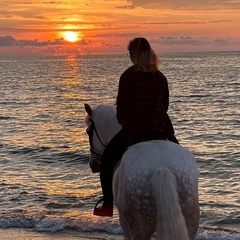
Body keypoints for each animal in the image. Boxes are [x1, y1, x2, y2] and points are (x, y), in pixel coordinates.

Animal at [83, 103, 200, 240]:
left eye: (88, 132)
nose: (92, 164)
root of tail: (162, 169)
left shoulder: (124, 220)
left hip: (140, 224)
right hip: (189, 220)